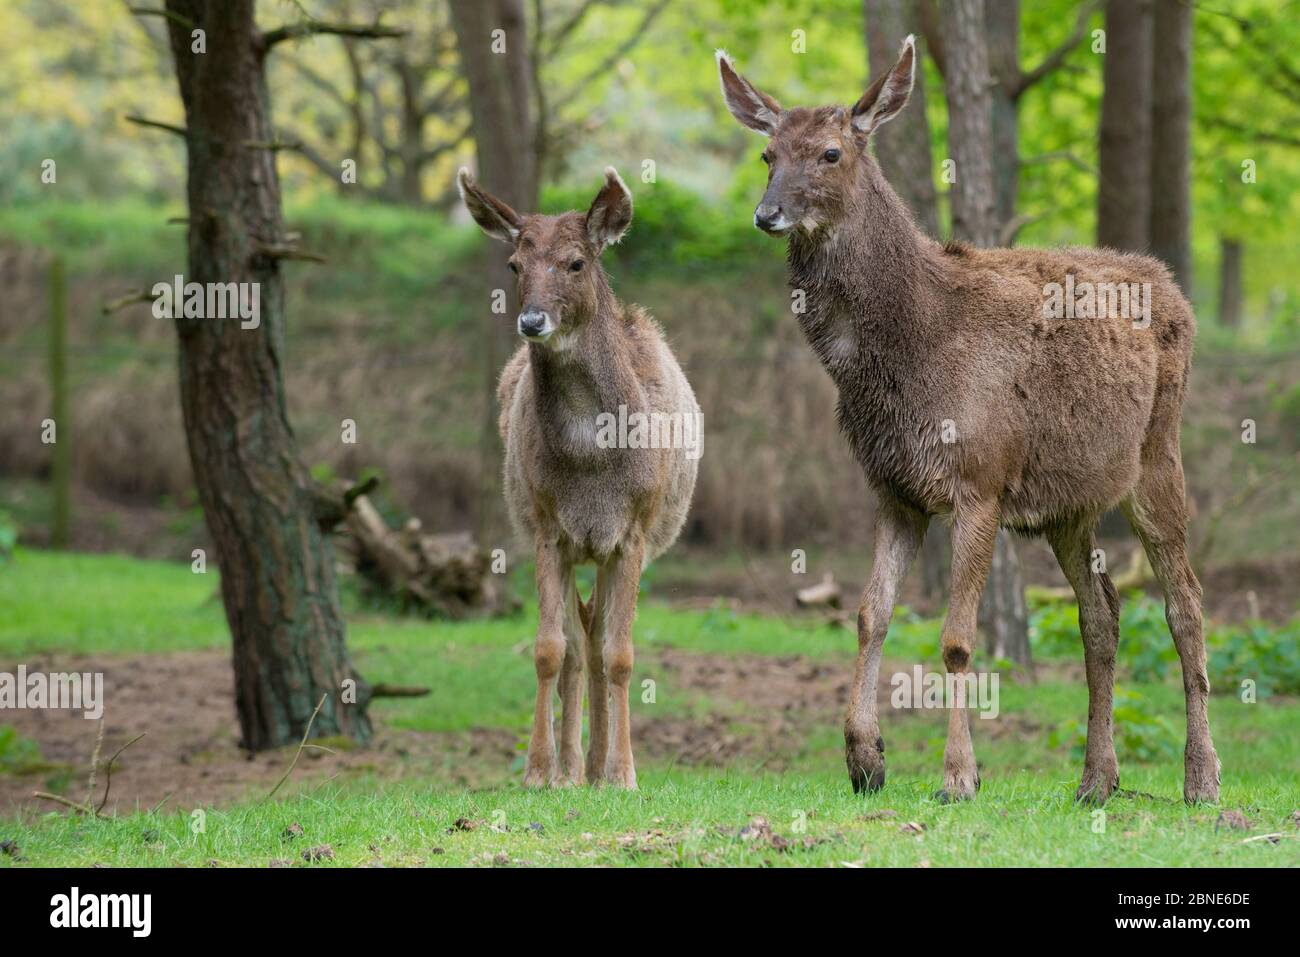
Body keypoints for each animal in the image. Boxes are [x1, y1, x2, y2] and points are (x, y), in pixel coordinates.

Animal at [457, 167, 702, 790]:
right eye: (514, 265)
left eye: (575, 262)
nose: (531, 320)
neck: (593, 464)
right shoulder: (548, 527)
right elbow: (548, 649)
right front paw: (538, 771)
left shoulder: (634, 531)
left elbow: (621, 655)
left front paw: (623, 773)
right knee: (577, 643)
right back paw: (573, 768)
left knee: (596, 643)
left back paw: (596, 767)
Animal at [722, 33, 1216, 806]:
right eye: (768, 154)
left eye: (831, 152)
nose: (767, 214)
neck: (908, 355)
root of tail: (1174, 290)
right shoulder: (893, 489)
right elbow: (870, 615)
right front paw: (865, 758)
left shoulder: (980, 478)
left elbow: (956, 636)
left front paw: (958, 774)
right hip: (1069, 506)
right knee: (1101, 611)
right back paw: (1095, 780)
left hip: (1159, 454)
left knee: (1185, 604)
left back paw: (1200, 778)